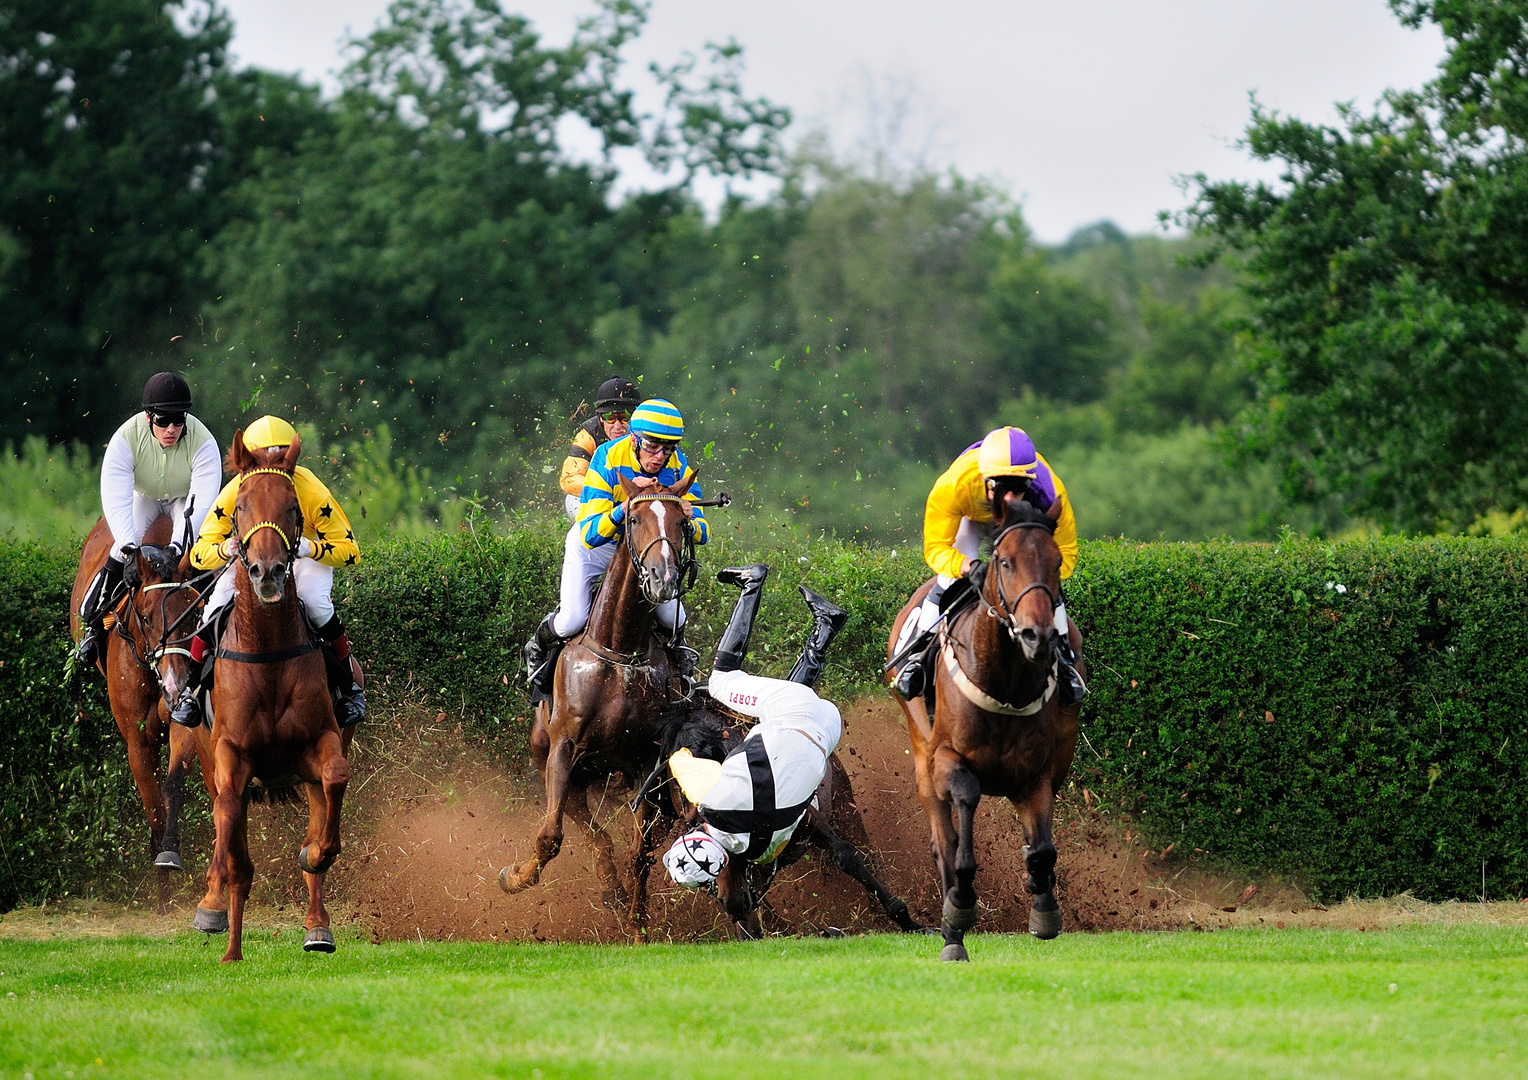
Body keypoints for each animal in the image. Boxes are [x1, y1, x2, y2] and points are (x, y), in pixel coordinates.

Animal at [69, 510, 215, 885]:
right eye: (147, 617)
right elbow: (152, 802)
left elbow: (173, 784)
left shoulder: (184, 723)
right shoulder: (137, 740)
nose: (177, 683)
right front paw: (160, 874)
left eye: (194, 613)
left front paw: (169, 852)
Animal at [191, 430, 351, 965]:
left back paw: (318, 926)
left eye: (291, 508)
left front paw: (315, 854)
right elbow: (231, 834)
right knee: (227, 825)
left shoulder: (323, 741)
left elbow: (334, 789)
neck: (269, 651)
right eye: (238, 507)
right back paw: (222, 928)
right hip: (207, 756)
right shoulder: (230, 755)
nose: (267, 572)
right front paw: (220, 923)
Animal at [501, 482, 715, 928]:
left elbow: (642, 851)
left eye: (681, 522)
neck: (621, 651)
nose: (663, 579)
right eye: (632, 519)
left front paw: (638, 924)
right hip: (554, 763)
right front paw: (515, 877)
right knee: (588, 829)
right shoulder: (564, 750)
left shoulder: (646, 762)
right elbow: (550, 837)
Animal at [886, 497, 1087, 965]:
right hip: (922, 761)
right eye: (1006, 562)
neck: (1005, 684)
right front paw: (958, 910)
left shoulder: (1039, 773)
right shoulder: (945, 760)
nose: (1038, 635)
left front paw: (1043, 905)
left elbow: (1043, 849)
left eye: (1056, 563)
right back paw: (952, 935)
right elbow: (963, 819)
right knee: (943, 842)